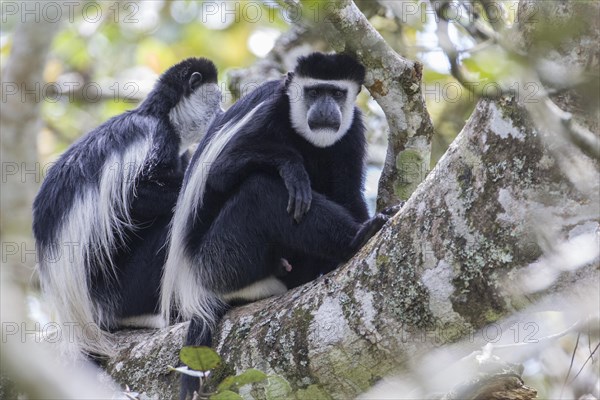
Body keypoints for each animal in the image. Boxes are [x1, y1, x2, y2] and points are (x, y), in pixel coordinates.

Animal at [31, 57, 223, 360]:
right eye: (218, 100)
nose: (224, 112)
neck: (161, 116)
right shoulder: (155, 138)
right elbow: (135, 198)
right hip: (119, 290)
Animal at [159, 52, 392, 396]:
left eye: (336, 93)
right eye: (313, 92)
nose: (325, 110)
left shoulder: (352, 131)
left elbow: (348, 193)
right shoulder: (268, 114)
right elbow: (220, 172)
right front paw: (293, 169)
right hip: (220, 261)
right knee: (260, 191)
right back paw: (357, 237)